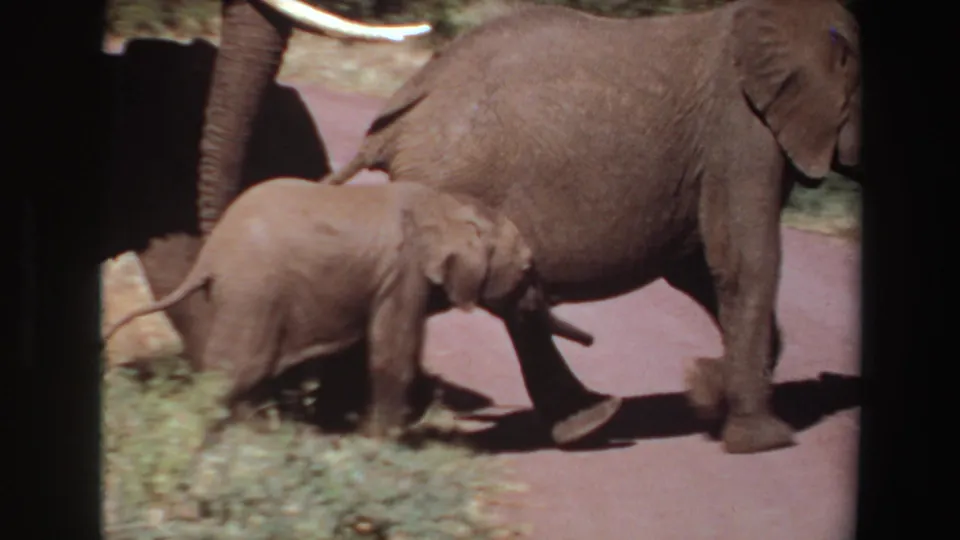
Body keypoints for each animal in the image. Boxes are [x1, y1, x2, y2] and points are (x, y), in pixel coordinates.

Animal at [102, 177, 595, 438]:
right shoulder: (404, 271)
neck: (446, 203)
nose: (592, 339)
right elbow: (392, 354)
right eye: (528, 268)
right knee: (234, 371)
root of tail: (210, 256)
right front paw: (384, 443)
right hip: (256, 293)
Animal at [308, 0, 862, 454]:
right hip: (456, 181)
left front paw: (708, 392)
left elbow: (697, 266)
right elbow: (744, 258)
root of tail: (398, 116)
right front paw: (762, 439)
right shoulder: (741, 129)